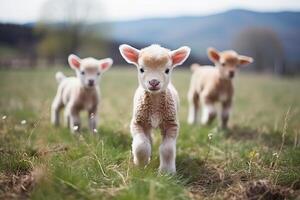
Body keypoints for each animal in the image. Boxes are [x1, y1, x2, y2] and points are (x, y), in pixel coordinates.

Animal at [119, 43, 191, 173]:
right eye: (141, 69)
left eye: (167, 70)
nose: (153, 82)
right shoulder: (138, 122)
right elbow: (141, 145)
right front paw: (140, 165)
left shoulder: (171, 124)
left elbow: (167, 149)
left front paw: (167, 172)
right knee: (148, 140)